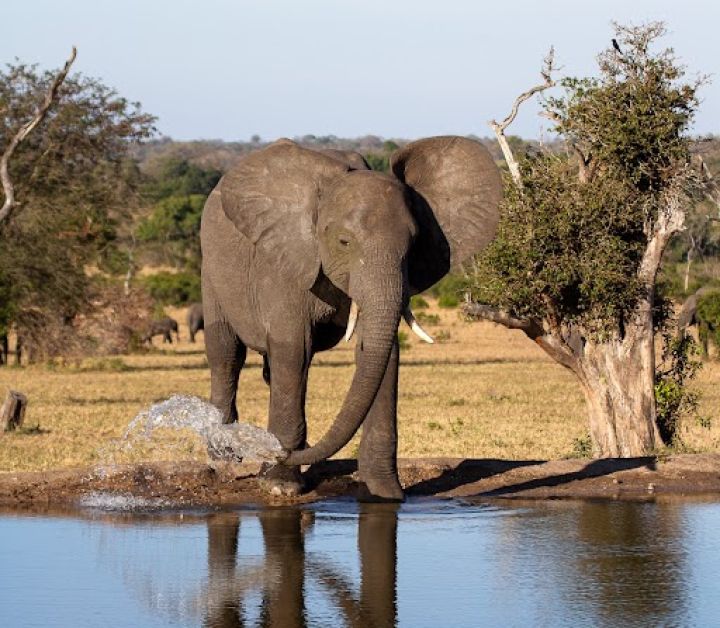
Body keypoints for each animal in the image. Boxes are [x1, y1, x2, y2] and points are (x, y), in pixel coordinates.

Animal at [200, 135, 501, 500]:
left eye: (414, 245)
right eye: (344, 241)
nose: (275, 451)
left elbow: (379, 354)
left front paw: (385, 493)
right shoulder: (284, 262)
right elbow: (293, 349)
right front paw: (281, 486)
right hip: (211, 269)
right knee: (227, 355)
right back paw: (223, 460)